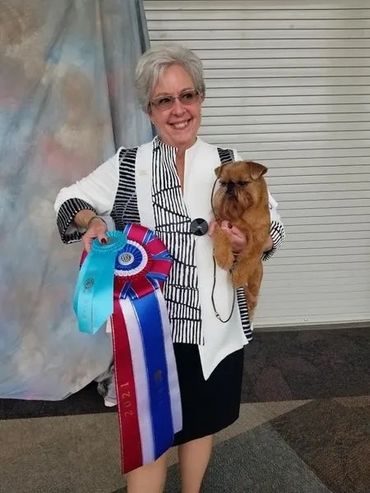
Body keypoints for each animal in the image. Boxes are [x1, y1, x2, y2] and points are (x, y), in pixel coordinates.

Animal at [212, 160, 270, 318]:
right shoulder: (221, 224)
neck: (241, 214)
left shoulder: (258, 241)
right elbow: (221, 235)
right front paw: (224, 257)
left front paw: (238, 276)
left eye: (243, 183)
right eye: (223, 183)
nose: (230, 187)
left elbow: (248, 258)